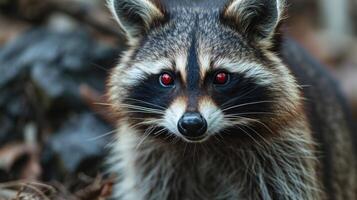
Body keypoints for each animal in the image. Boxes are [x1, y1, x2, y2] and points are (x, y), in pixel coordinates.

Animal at [106, 0, 356, 200]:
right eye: (166, 78)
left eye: (221, 77)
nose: (191, 124)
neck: (206, 144)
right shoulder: (150, 158)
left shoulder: (284, 154)